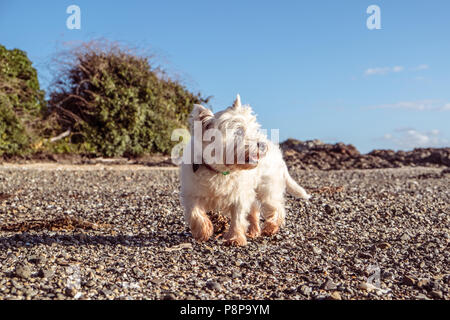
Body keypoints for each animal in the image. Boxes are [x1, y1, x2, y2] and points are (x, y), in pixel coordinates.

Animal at [179, 94, 310, 245]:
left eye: (254, 128)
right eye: (238, 131)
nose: (262, 145)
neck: (220, 171)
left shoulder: (239, 195)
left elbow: (238, 217)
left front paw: (235, 238)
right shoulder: (191, 193)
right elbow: (195, 213)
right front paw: (203, 231)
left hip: (267, 188)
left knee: (276, 207)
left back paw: (271, 226)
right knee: (255, 211)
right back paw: (254, 231)